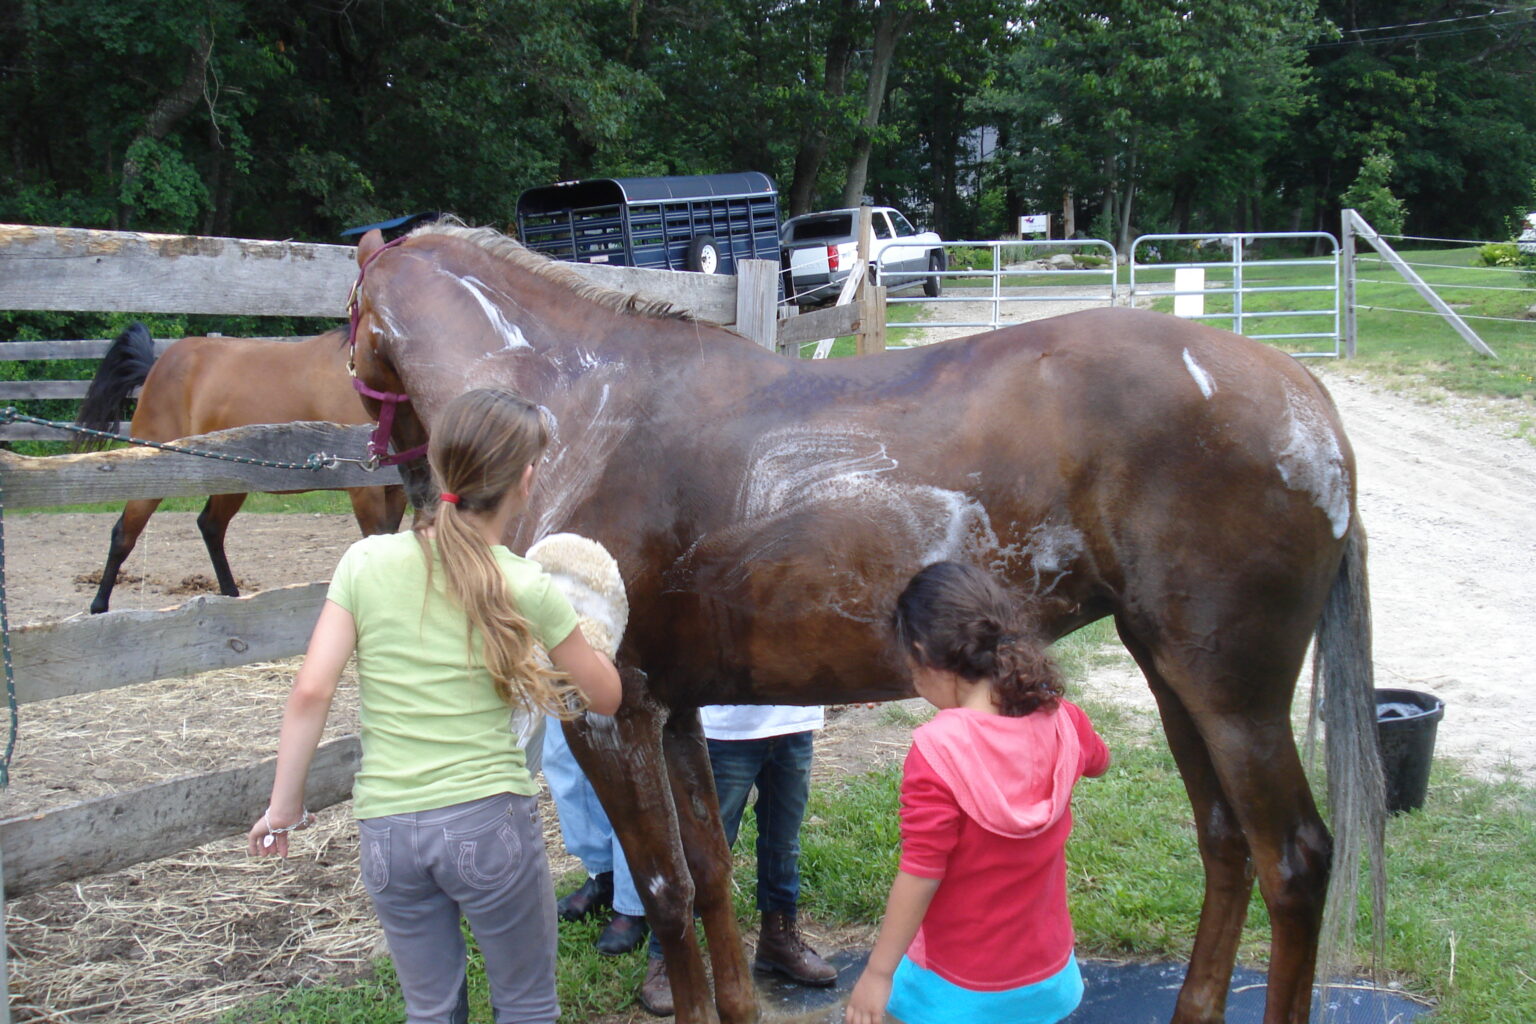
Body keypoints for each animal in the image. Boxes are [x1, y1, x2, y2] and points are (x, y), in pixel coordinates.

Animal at [74, 323, 408, 613]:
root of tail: (157, 366)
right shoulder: (364, 490)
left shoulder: (397, 491)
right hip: (152, 476)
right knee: (124, 534)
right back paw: (99, 608)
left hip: (229, 482)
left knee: (210, 526)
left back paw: (231, 597)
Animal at [346, 223, 1386, 1024]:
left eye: (347, 326)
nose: (388, 474)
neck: (577, 408)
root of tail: (1305, 397)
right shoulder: (675, 715)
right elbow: (714, 877)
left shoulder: (610, 718)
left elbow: (670, 894)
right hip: (1175, 680)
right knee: (1225, 845)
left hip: (1234, 699)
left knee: (1294, 862)